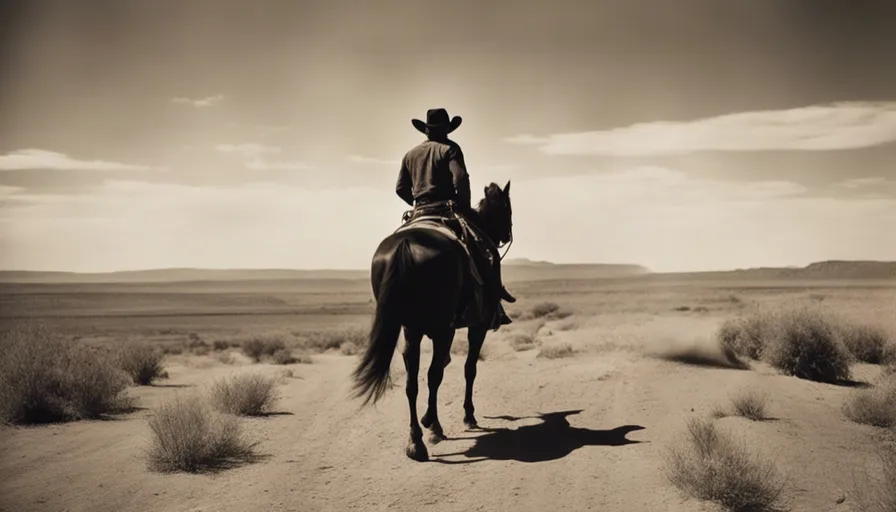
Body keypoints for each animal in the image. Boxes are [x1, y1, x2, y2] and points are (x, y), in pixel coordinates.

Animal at [354, 181, 516, 464]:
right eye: (507, 209)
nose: (506, 235)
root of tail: (405, 245)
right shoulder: (477, 326)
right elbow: (469, 368)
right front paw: (468, 415)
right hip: (442, 329)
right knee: (433, 374)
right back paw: (432, 425)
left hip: (412, 329)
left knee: (413, 382)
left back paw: (416, 442)